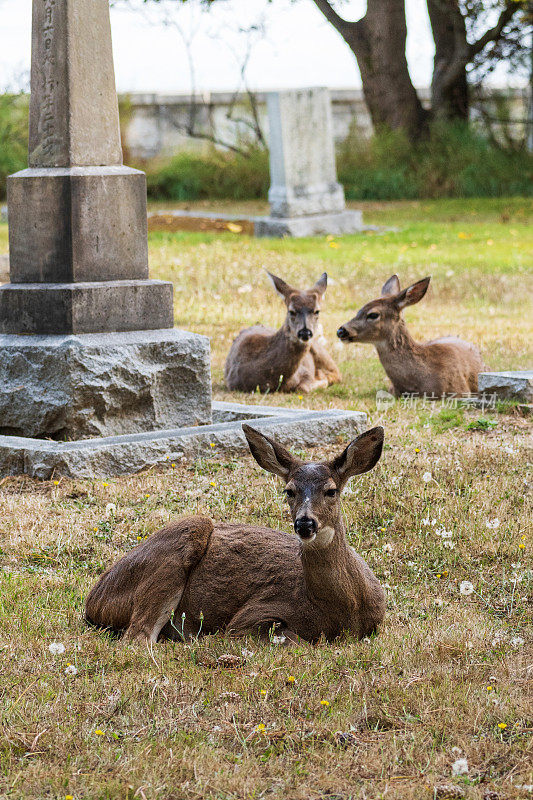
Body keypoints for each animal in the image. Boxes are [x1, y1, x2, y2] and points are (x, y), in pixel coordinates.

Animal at [86, 424, 386, 644]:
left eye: (331, 490)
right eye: (289, 491)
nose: (305, 524)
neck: (343, 610)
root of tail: (93, 600)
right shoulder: (252, 615)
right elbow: (294, 639)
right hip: (186, 535)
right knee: (137, 638)